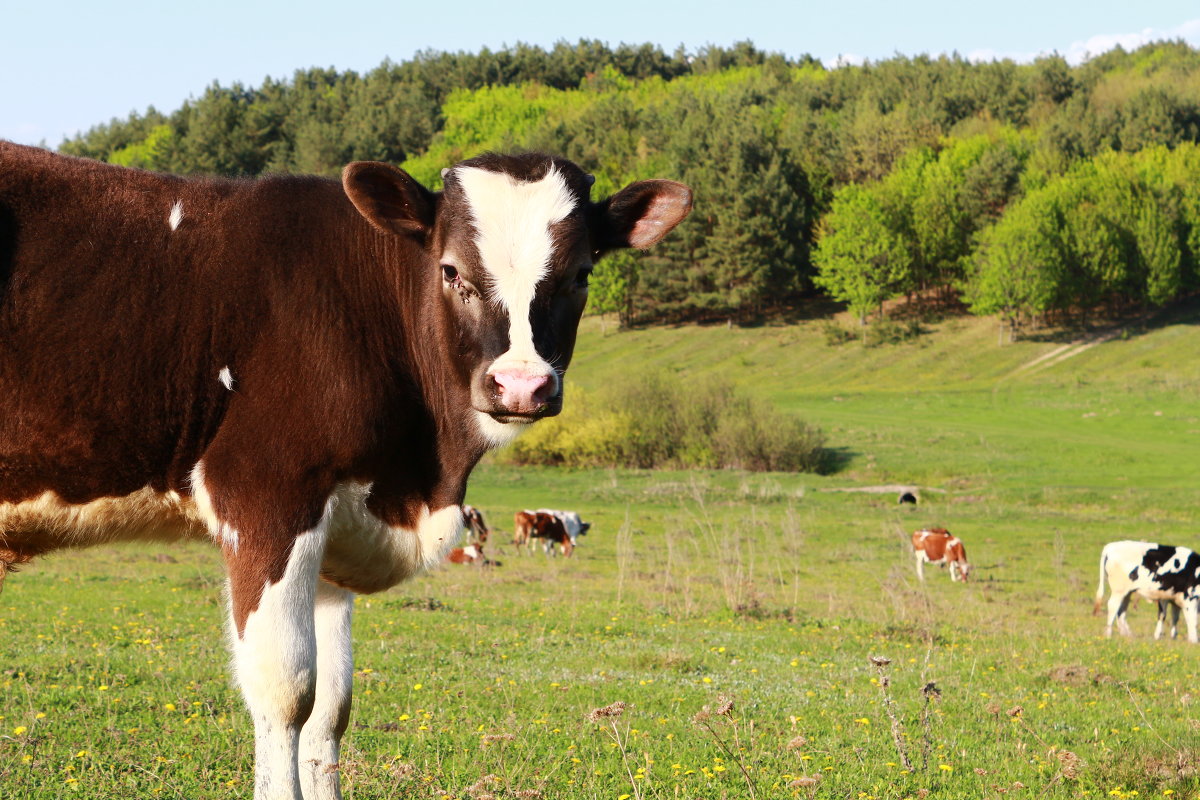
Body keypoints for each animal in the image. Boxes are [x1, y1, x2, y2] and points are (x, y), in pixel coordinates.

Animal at [0, 143, 696, 800]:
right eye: (452, 270)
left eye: (581, 274)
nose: (522, 385)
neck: (423, 477)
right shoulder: (268, 496)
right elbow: (287, 690)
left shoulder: (336, 530)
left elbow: (330, 707)